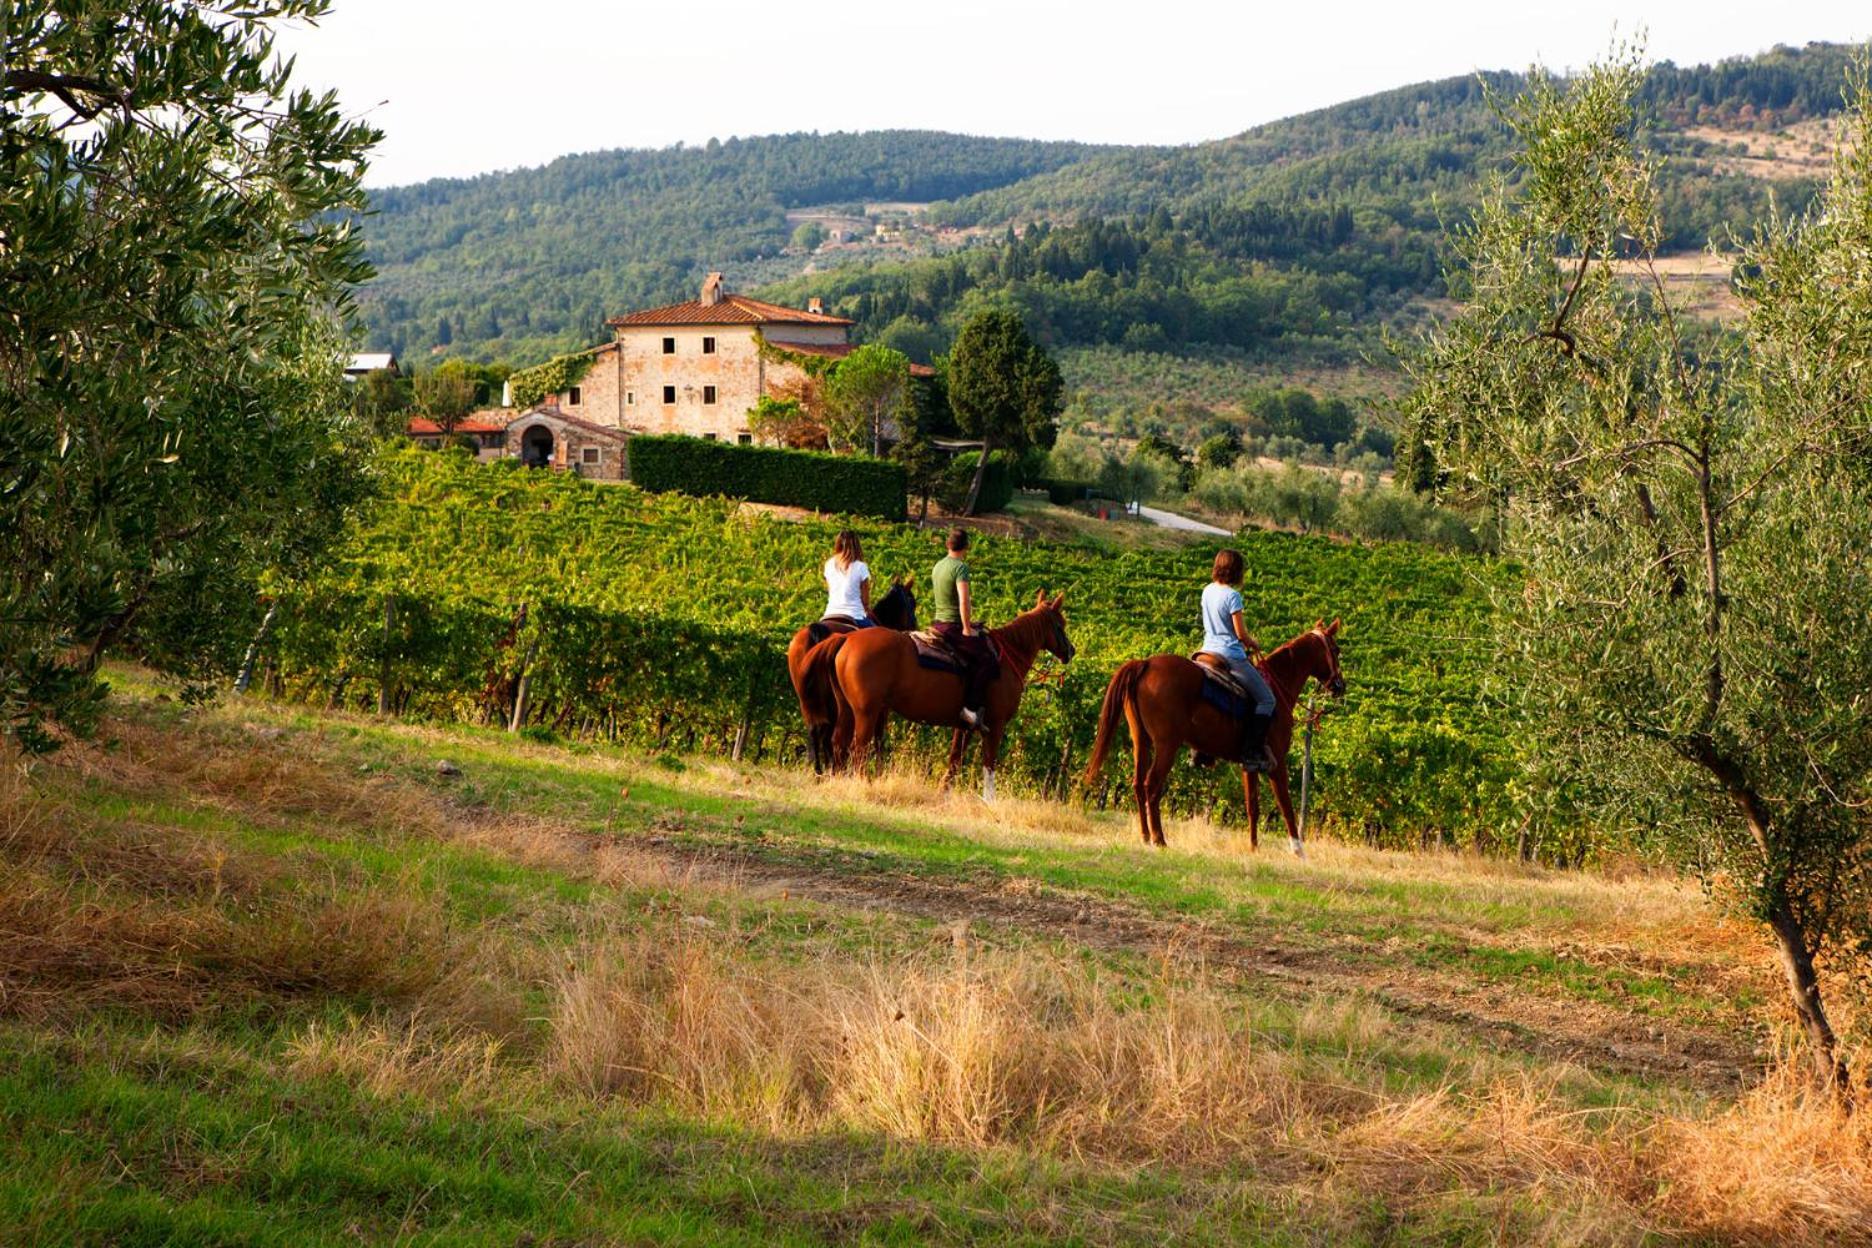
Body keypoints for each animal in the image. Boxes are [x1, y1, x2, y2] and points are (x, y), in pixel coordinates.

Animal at [782, 583, 913, 774]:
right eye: (912, 603)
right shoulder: (881, 707)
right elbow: (878, 738)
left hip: (807, 697)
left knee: (816, 730)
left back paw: (819, 769)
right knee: (830, 734)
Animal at [808, 594, 1085, 800]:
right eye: (1061, 624)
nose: (1071, 650)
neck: (1006, 659)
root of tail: (846, 638)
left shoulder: (965, 726)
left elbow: (954, 760)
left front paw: (945, 794)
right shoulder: (995, 725)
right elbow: (989, 762)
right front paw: (989, 801)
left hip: (847, 709)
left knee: (839, 742)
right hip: (867, 711)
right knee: (859, 748)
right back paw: (863, 783)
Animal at [1085, 621, 1347, 853]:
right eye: (1336, 650)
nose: (1340, 686)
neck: (1278, 688)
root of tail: (1146, 663)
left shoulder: (1249, 763)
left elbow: (1253, 806)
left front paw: (1253, 847)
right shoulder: (1277, 762)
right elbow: (1286, 805)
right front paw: (1298, 850)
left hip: (1141, 741)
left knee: (1139, 784)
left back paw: (1146, 836)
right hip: (1167, 745)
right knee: (1152, 786)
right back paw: (1159, 839)